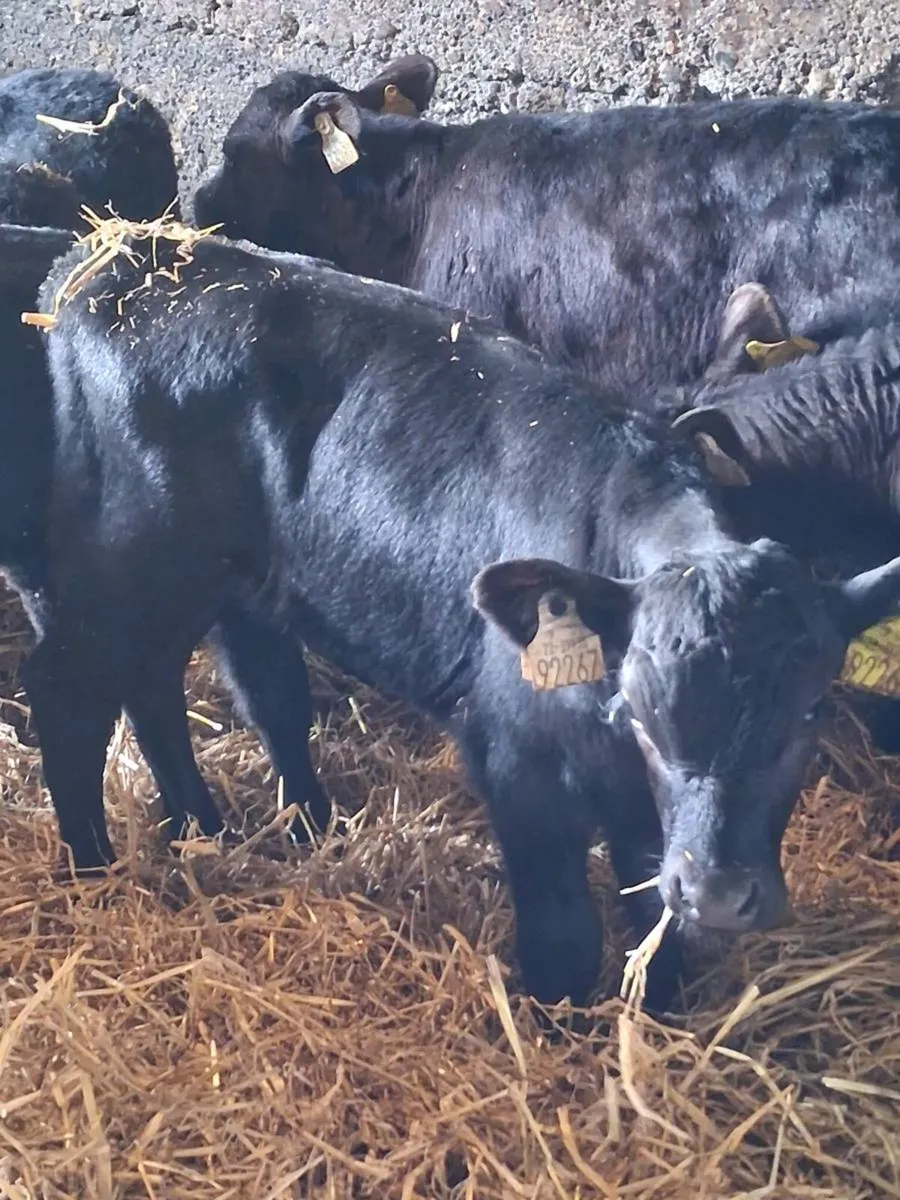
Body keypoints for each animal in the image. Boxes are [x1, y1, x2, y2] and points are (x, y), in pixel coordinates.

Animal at [25, 227, 900, 1013]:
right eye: (644, 713)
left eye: (811, 711)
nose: (720, 895)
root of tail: (110, 253)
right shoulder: (516, 762)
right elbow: (562, 925)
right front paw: (556, 1021)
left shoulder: (641, 804)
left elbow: (650, 900)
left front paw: (660, 1005)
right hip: (123, 564)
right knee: (69, 696)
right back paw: (94, 870)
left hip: (202, 583)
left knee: (159, 688)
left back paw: (203, 830)